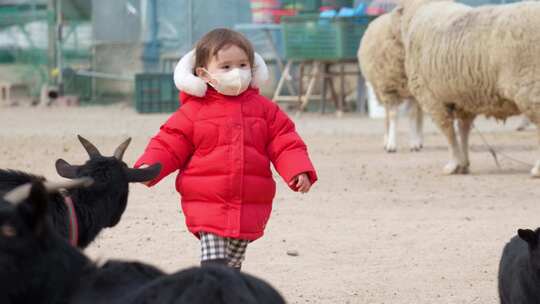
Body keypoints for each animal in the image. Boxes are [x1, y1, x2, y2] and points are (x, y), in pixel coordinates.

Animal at [358, 12, 426, 153]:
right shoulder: (389, 89)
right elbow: (393, 116)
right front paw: (391, 144)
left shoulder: (412, 92)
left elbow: (412, 115)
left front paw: (414, 143)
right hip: (381, 91)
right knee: (387, 116)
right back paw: (386, 138)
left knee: (419, 114)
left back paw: (419, 139)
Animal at [392, 0, 540, 176]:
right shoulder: (464, 99)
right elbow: (463, 130)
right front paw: (463, 164)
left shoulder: (431, 98)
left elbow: (448, 132)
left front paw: (453, 165)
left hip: (529, 87)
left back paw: (537, 169)